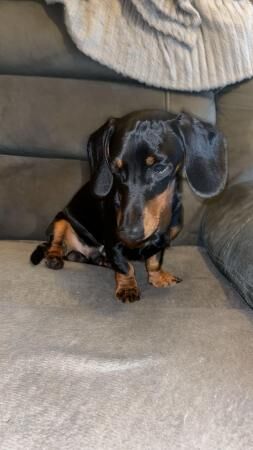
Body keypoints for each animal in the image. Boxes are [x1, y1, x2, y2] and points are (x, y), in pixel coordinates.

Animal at [30, 110, 227, 302]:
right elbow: (125, 266)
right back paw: (54, 258)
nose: (128, 233)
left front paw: (158, 278)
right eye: (115, 169)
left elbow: (155, 260)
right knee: (55, 244)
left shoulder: (161, 242)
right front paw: (127, 288)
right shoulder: (113, 241)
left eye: (160, 168)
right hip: (61, 220)